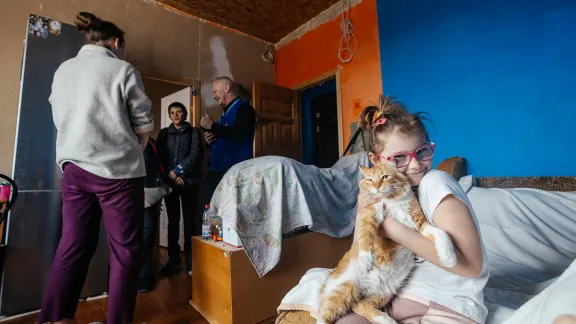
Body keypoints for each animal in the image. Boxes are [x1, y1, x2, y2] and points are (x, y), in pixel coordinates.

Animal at [318, 163, 456, 324]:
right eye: (370, 180)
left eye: (385, 177)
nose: (377, 187)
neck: (392, 199)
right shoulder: (370, 215)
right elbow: (366, 236)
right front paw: (366, 259)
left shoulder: (420, 222)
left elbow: (440, 233)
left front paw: (449, 257)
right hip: (343, 289)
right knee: (323, 315)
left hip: (383, 293)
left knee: (358, 305)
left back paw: (386, 319)